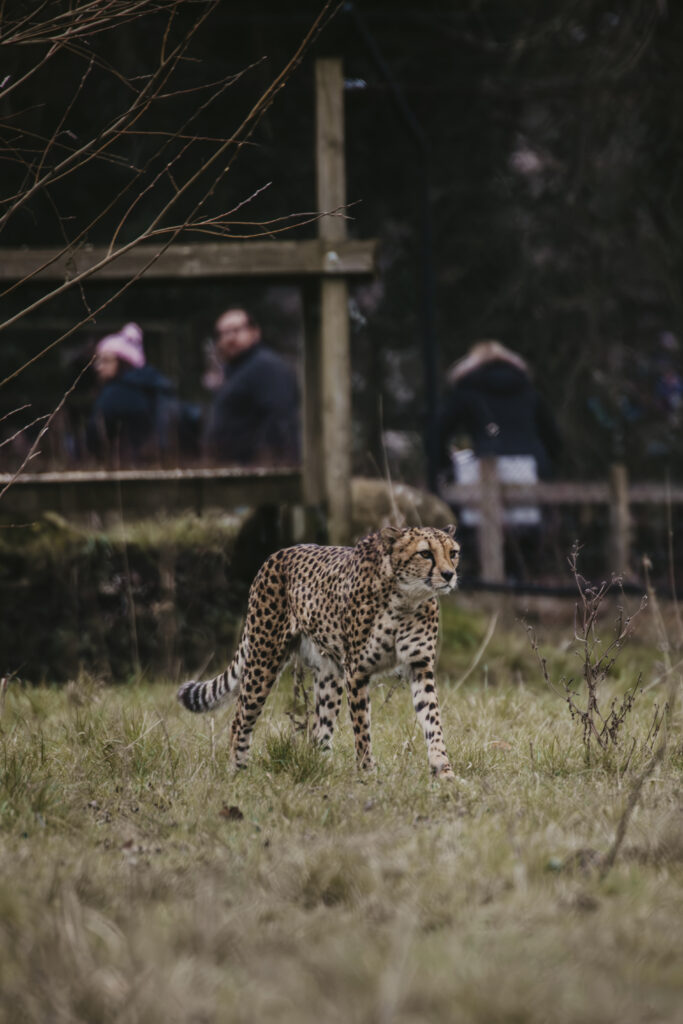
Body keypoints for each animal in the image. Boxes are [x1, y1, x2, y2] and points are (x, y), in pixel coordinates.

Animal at [177, 525, 460, 778]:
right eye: (425, 553)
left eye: (453, 552)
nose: (449, 575)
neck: (406, 598)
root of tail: (278, 554)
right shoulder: (356, 672)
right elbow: (362, 727)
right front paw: (367, 772)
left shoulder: (419, 666)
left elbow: (432, 719)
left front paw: (443, 770)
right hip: (263, 659)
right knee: (240, 718)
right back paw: (237, 772)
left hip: (328, 676)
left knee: (318, 731)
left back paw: (323, 770)